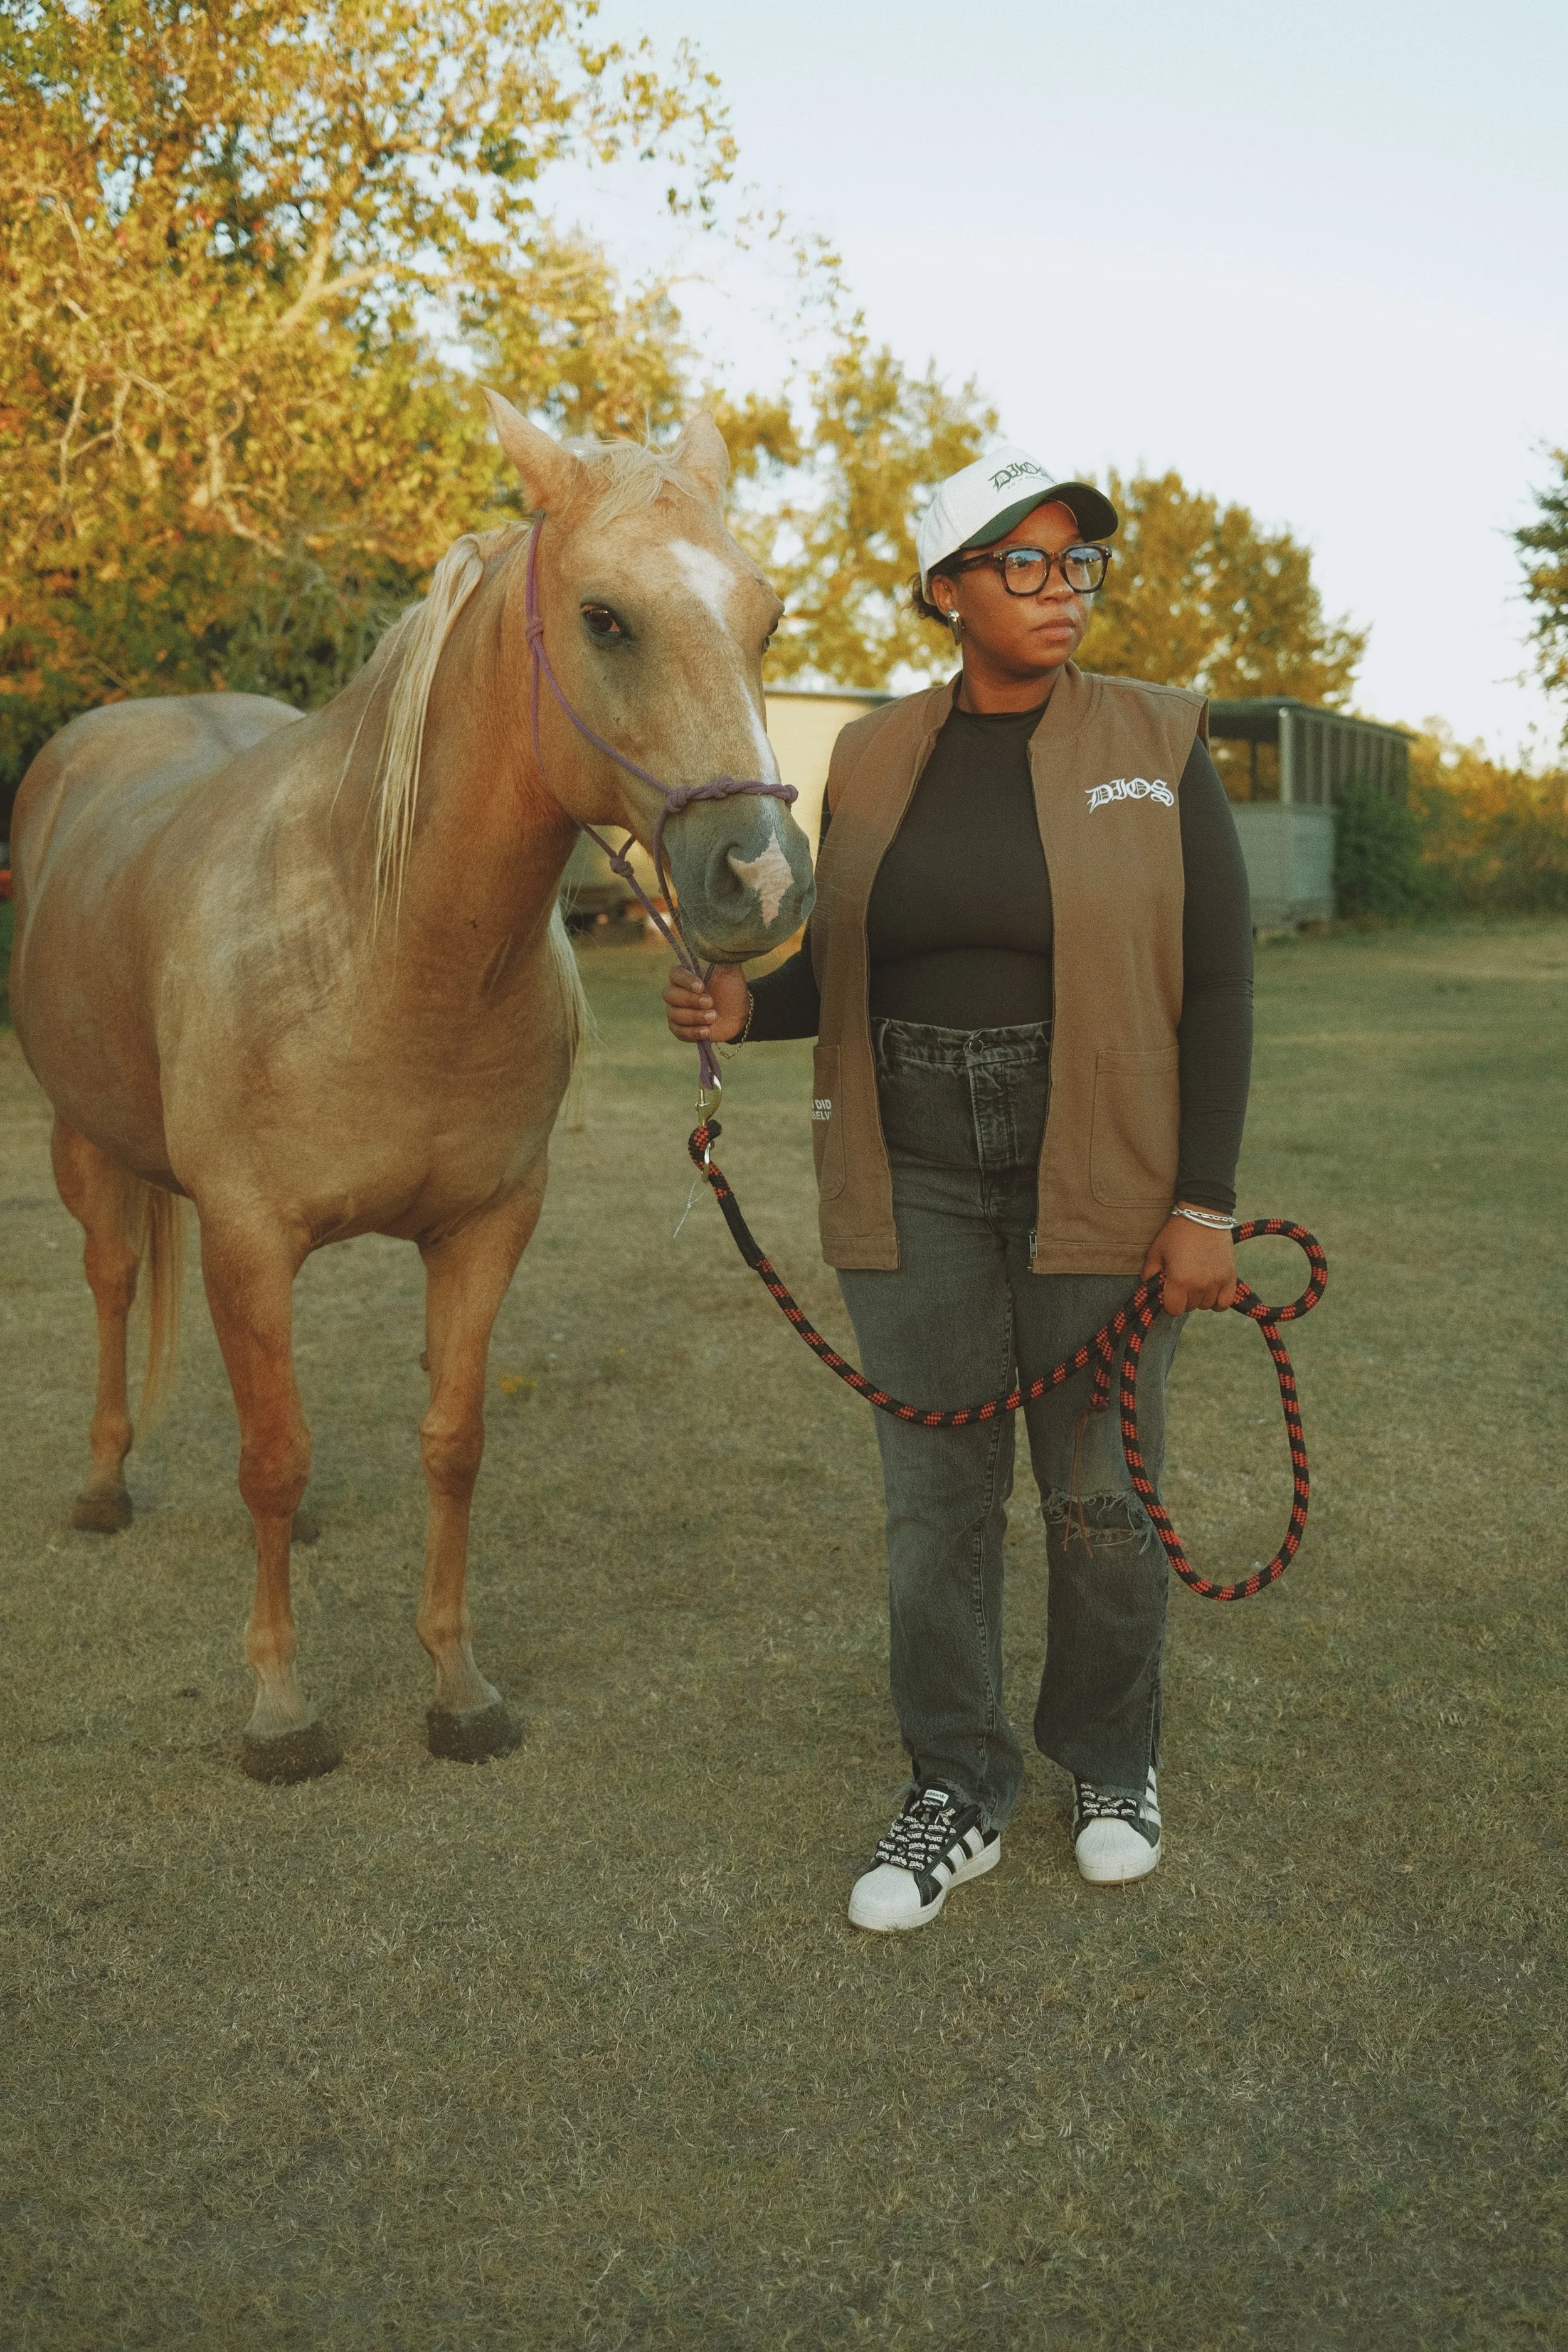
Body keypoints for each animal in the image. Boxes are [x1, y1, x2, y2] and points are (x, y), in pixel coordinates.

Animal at [8, 396, 815, 1783]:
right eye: (605, 618)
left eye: (764, 618)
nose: (758, 883)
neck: (387, 946)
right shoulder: (247, 1233)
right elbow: (272, 1457)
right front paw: (281, 1710)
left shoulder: (486, 1226)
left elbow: (448, 1445)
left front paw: (457, 1687)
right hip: (87, 1146)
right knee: (115, 1288)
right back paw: (105, 1487)